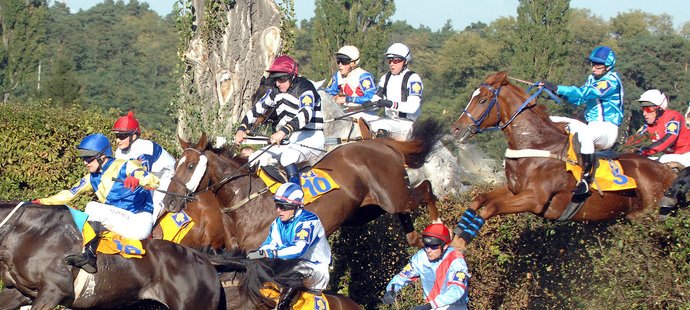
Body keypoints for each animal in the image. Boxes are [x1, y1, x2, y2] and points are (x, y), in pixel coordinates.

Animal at [161, 117, 440, 251]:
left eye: (190, 166)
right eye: (175, 165)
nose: (169, 201)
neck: (245, 203)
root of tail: (379, 142)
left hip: (394, 196)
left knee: (426, 189)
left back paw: (438, 228)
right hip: (365, 210)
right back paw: (415, 237)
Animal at [446, 71, 676, 249]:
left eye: (482, 100)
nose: (456, 129)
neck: (538, 145)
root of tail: (667, 171)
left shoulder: (534, 199)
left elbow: (490, 208)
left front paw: (460, 243)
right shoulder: (514, 190)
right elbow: (479, 200)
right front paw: (456, 233)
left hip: (652, 217)